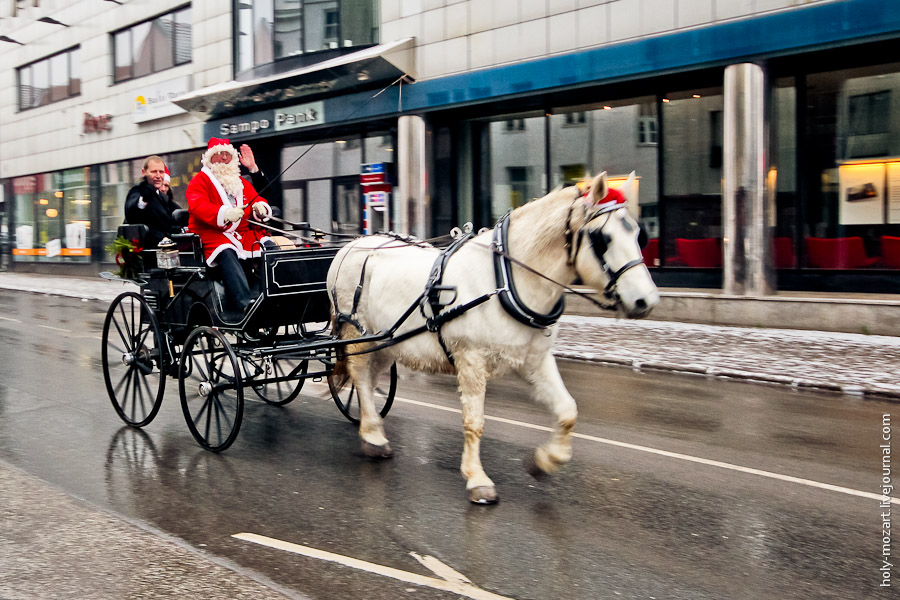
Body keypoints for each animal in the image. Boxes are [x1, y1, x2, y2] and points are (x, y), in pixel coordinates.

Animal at [326, 175, 656, 506]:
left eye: (639, 234)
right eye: (602, 238)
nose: (647, 301)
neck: (505, 281)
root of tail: (351, 245)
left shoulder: (535, 360)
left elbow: (567, 411)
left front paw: (545, 461)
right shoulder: (470, 360)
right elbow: (475, 423)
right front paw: (477, 479)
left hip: (387, 342)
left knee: (370, 380)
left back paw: (371, 429)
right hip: (358, 332)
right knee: (360, 375)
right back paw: (372, 436)